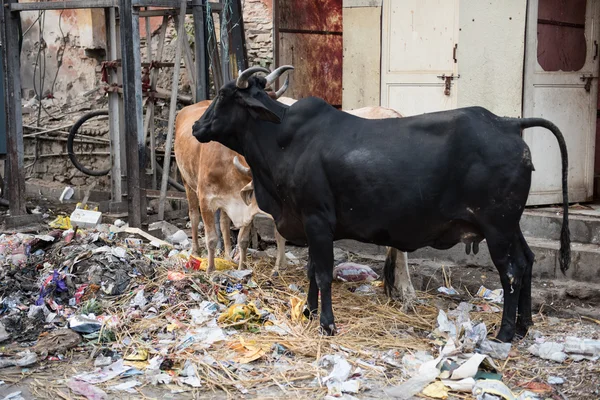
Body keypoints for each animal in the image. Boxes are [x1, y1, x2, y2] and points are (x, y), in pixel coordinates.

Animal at [191, 66, 568, 344]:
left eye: (223, 95)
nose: (196, 125)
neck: (282, 141)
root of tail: (507, 123)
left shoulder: (317, 220)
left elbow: (323, 272)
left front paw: (326, 323)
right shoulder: (309, 225)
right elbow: (312, 270)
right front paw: (309, 313)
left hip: (497, 226)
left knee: (511, 271)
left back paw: (505, 332)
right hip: (510, 224)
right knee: (527, 260)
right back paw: (524, 326)